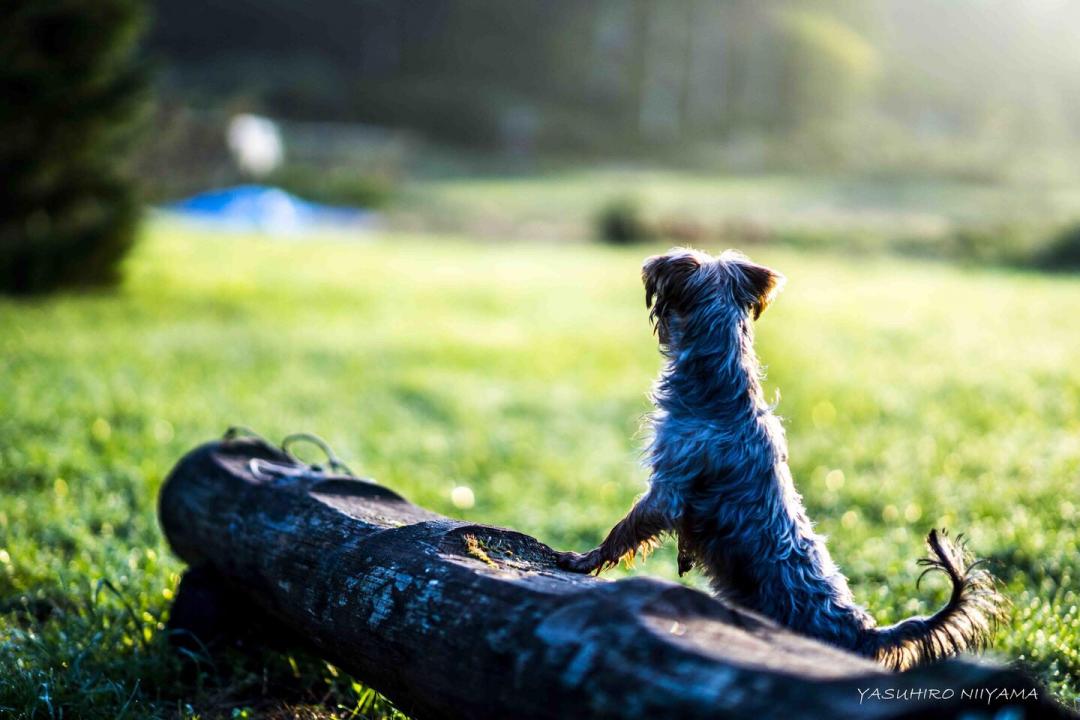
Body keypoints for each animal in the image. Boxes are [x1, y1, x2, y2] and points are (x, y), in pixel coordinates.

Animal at [557, 248, 1002, 669]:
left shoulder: (668, 487)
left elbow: (624, 530)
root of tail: (869, 635)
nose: (648, 267)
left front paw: (580, 560)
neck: (720, 392)